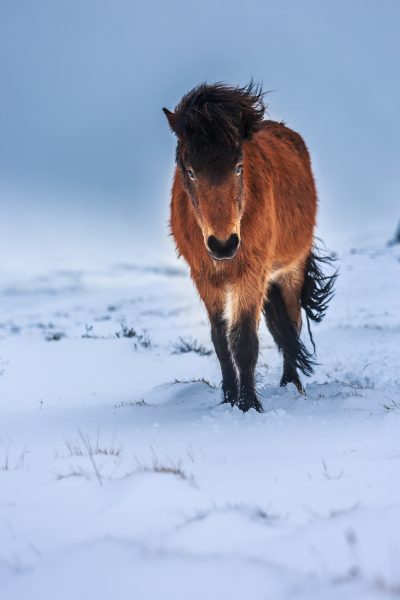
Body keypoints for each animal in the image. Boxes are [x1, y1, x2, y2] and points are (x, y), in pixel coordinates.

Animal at [162, 82, 334, 412]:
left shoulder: (251, 274)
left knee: (292, 323)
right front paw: (229, 398)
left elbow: (244, 340)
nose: (223, 245)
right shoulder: (205, 278)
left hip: (290, 272)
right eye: (190, 171)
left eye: (239, 167)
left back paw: (291, 385)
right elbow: (220, 339)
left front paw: (248, 405)